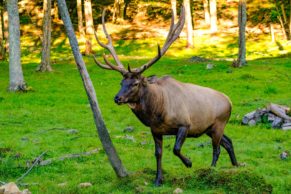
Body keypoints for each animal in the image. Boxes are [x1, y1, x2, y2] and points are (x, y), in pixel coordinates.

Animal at [93, 7, 240, 186]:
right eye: (121, 82)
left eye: (135, 83)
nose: (117, 98)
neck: (157, 112)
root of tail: (230, 101)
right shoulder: (155, 130)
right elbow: (158, 153)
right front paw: (158, 180)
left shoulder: (185, 124)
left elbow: (176, 149)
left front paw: (189, 162)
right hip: (209, 127)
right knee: (228, 142)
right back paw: (236, 165)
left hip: (219, 123)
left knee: (217, 148)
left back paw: (211, 169)